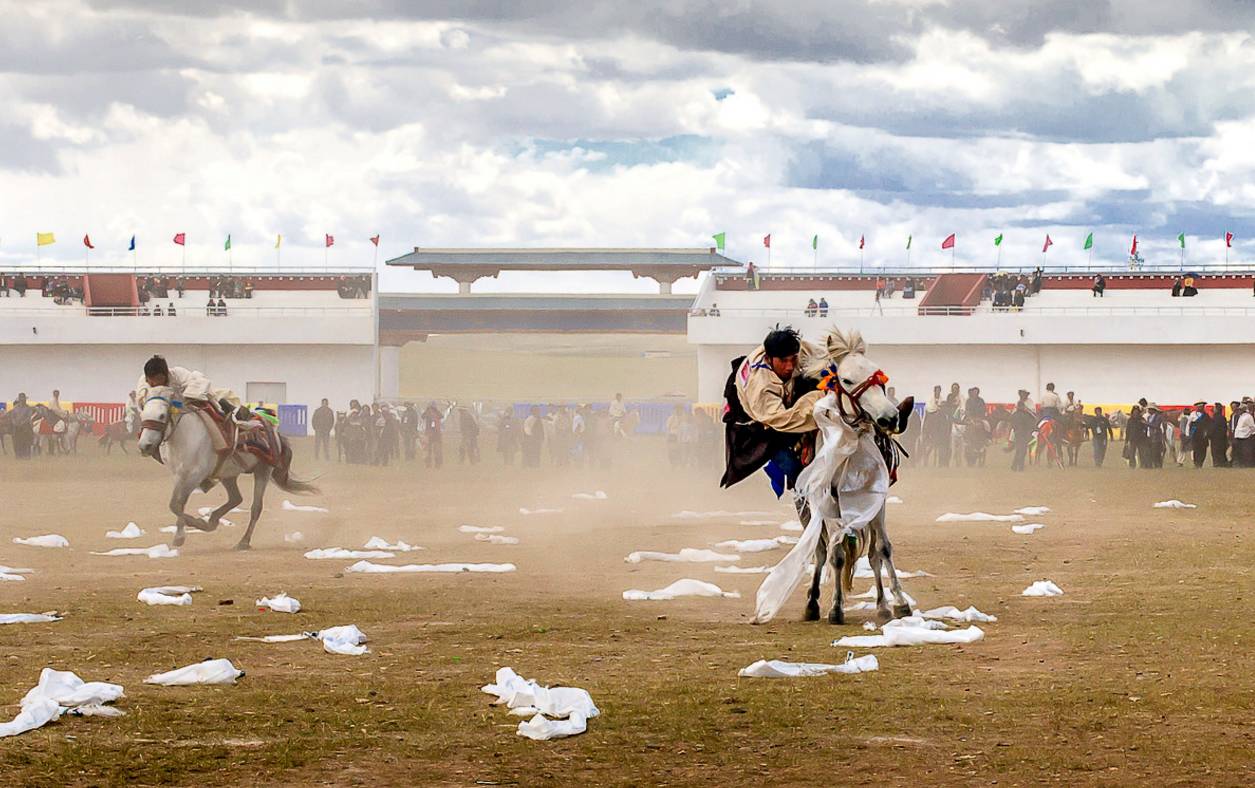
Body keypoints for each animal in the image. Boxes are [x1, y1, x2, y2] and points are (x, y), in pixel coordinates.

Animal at [137, 391, 318, 552]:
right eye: (143, 414)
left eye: (162, 415)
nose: (144, 446)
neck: (185, 437)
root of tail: (275, 432)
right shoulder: (179, 475)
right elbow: (177, 503)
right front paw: (181, 534)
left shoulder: (195, 475)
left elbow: (176, 504)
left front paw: (195, 525)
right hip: (228, 475)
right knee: (236, 498)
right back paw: (213, 520)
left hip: (263, 471)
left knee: (256, 507)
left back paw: (243, 541)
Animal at [798, 323, 918, 622]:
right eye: (847, 380)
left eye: (877, 372)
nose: (890, 417)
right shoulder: (827, 502)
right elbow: (837, 553)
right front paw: (836, 608)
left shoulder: (876, 498)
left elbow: (881, 549)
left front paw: (897, 603)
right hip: (806, 508)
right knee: (821, 550)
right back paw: (813, 603)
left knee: (871, 553)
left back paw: (882, 604)